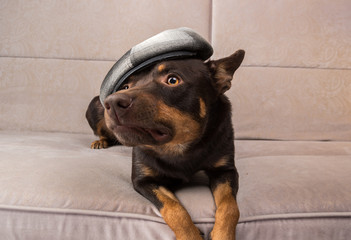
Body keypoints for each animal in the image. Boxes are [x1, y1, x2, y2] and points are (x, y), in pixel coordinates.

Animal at [86, 49, 245, 240]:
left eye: (172, 80)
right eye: (125, 87)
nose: (112, 102)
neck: (180, 145)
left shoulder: (225, 170)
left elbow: (230, 207)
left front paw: (222, 234)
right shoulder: (143, 180)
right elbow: (173, 209)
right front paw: (191, 235)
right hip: (94, 105)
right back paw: (100, 141)